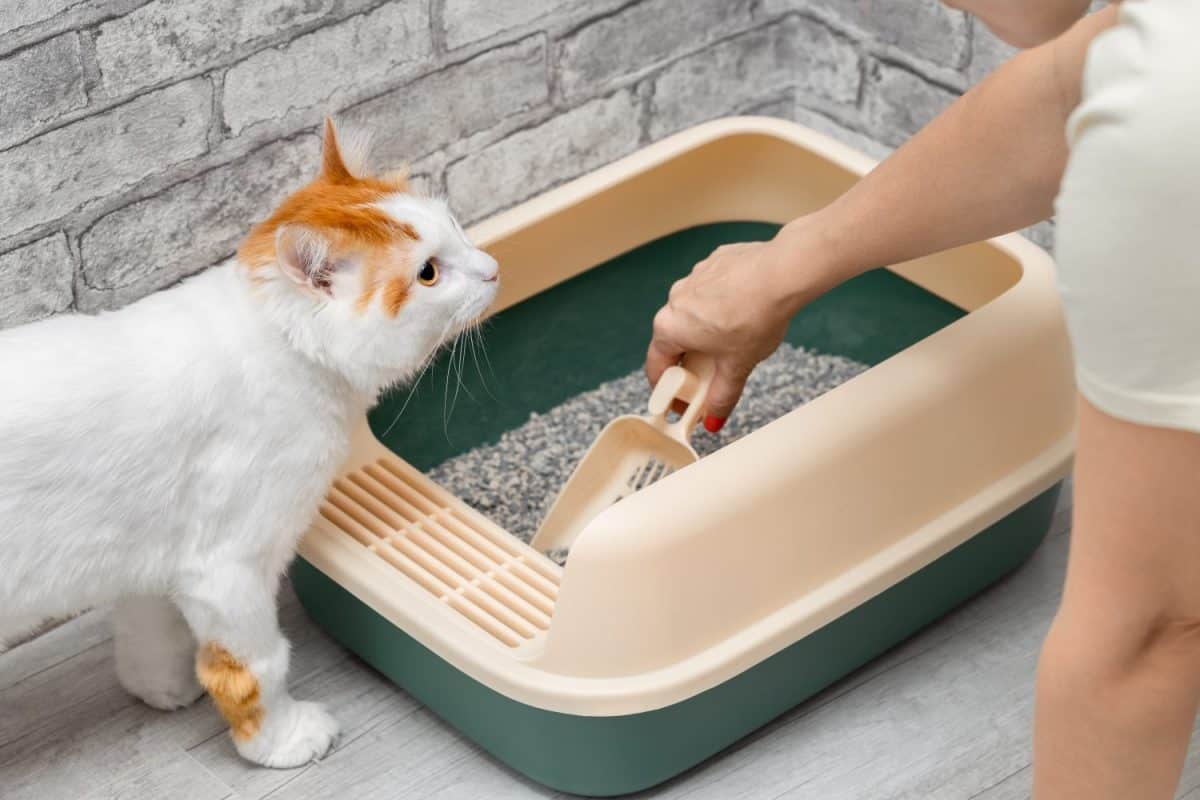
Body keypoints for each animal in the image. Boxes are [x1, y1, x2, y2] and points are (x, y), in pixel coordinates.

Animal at [0, 120, 499, 767]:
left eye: (456, 226)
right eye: (429, 273)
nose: (492, 267)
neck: (280, 345)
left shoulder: (151, 547)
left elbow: (149, 627)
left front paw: (159, 685)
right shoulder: (227, 568)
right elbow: (256, 665)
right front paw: (280, 740)